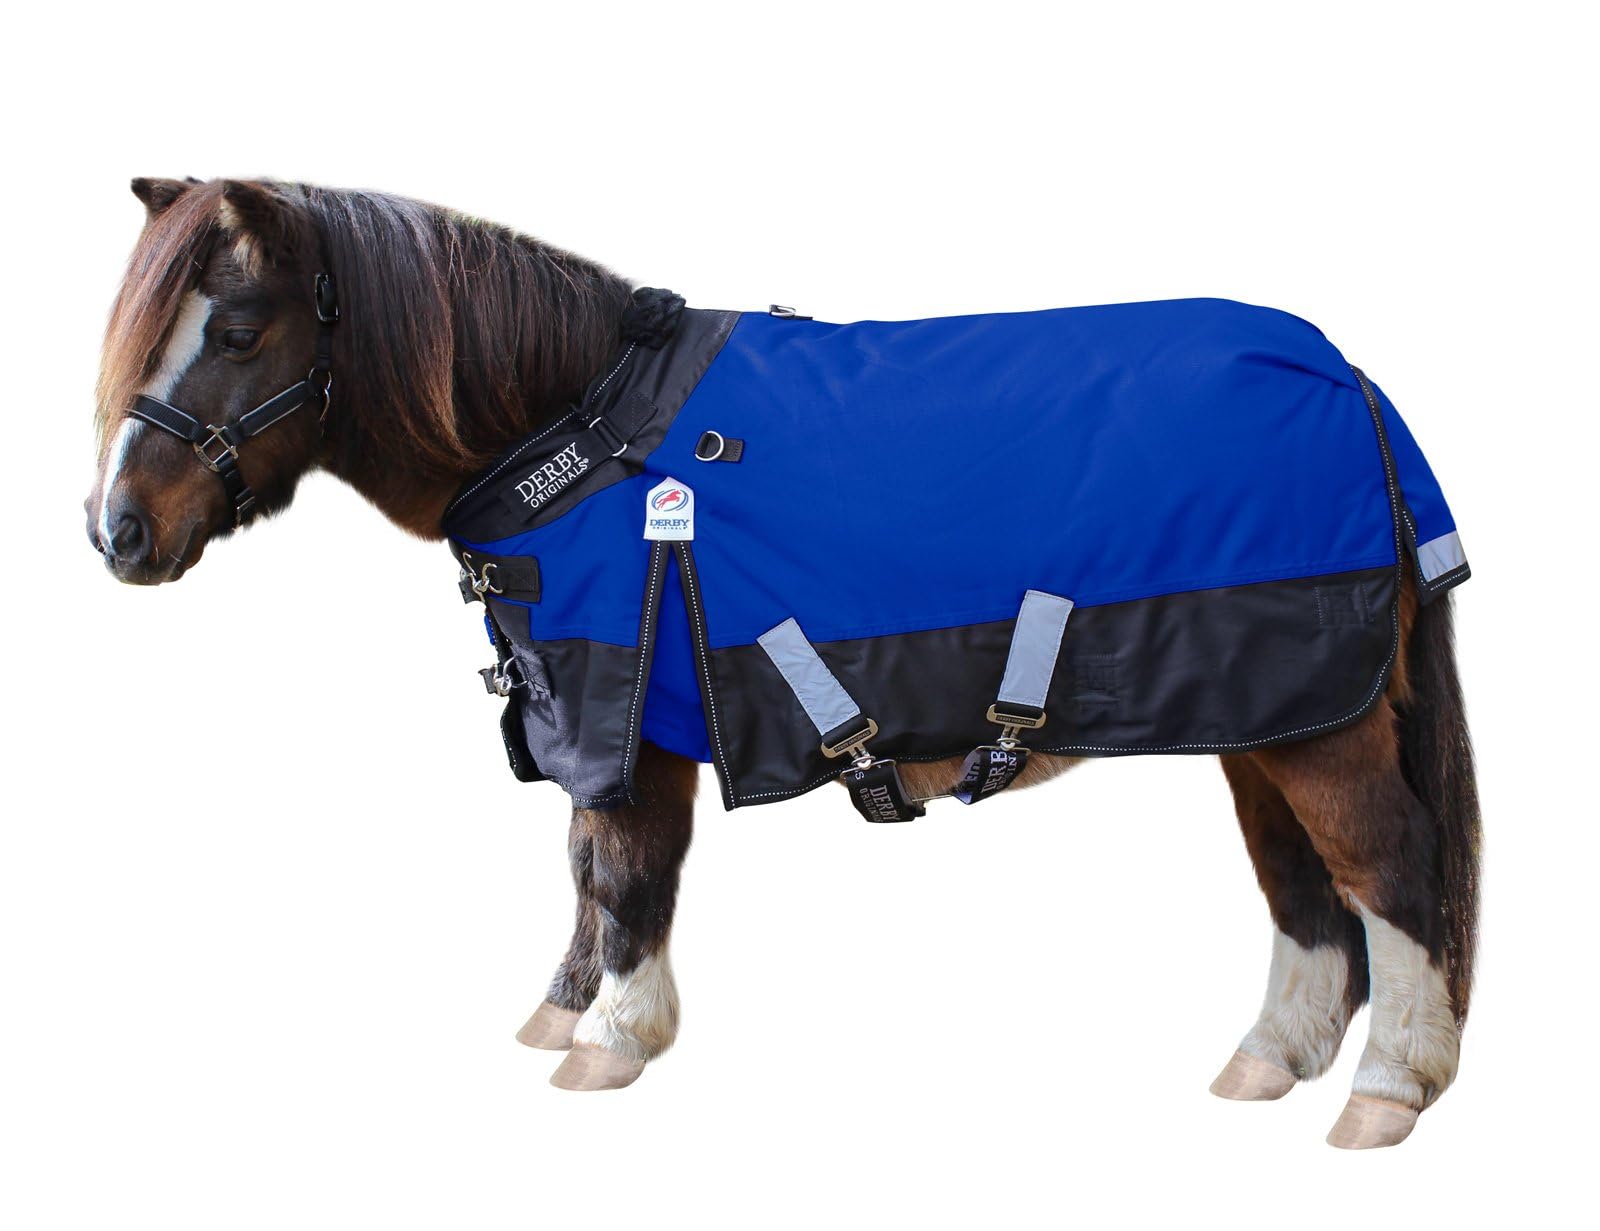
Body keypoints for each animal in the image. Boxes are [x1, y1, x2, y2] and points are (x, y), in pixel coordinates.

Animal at [85, 177, 1480, 1149]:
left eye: (241, 329)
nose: (117, 533)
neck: (581, 428)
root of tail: (1346, 374)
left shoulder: (626, 709)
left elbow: (623, 869)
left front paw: (612, 1036)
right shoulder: (585, 708)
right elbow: (584, 870)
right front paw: (563, 1009)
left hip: (1317, 722)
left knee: (1385, 868)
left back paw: (1386, 1089)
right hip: (1263, 715)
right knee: (1302, 888)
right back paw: (1269, 1058)